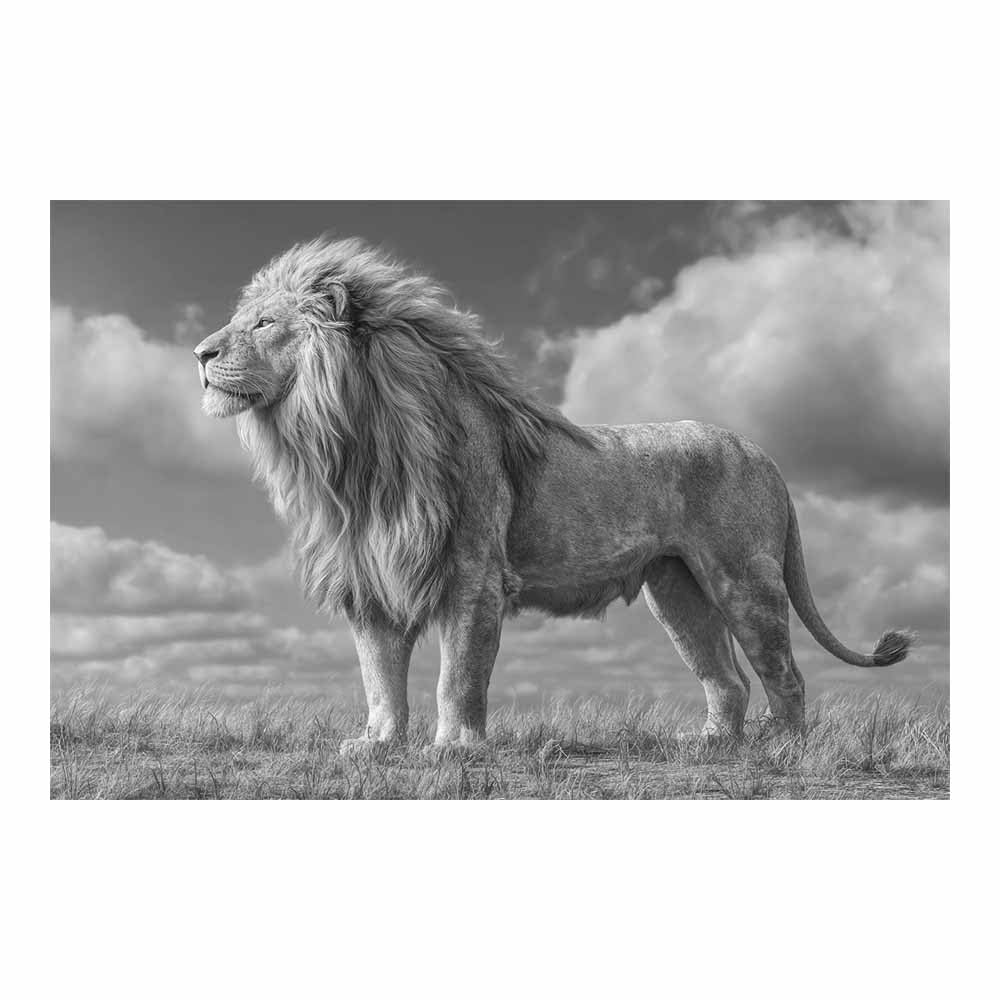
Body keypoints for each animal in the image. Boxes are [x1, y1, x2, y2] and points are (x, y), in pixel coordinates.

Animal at [194, 236, 913, 750]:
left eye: (262, 324)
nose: (199, 355)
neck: (351, 447)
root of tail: (766, 455)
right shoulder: (369, 576)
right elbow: (379, 675)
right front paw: (378, 744)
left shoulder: (474, 575)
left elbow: (458, 674)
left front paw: (455, 747)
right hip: (677, 589)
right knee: (726, 678)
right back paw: (710, 743)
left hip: (745, 579)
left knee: (784, 673)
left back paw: (784, 748)